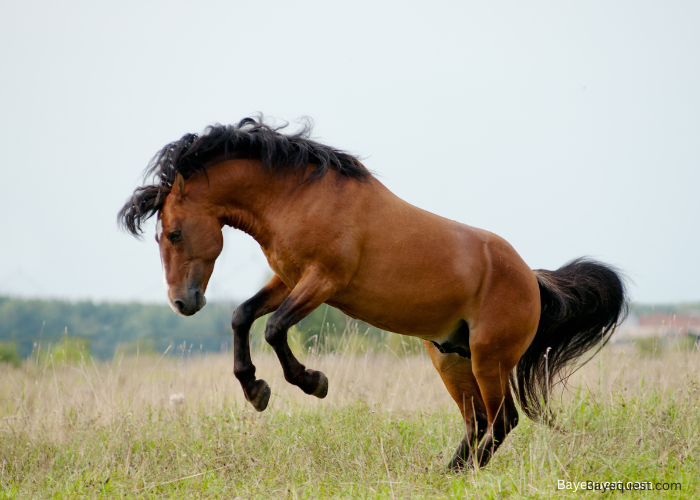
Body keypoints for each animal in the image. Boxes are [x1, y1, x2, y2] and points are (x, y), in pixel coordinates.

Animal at [118, 117, 626, 469]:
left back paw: (464, 474)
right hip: (451, 359)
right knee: (478, 421)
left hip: (489, 358)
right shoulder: (288, 279)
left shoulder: (323, 281)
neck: (297, 197)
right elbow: (243, 316)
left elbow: (275, 328)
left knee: (502, 421)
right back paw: (448, 474)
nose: (182, 302)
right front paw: (256, 390)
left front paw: (312, 382)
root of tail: (531, 279)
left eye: (174, 233)